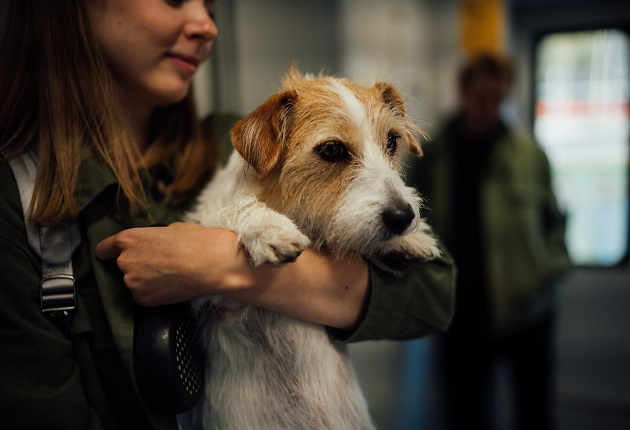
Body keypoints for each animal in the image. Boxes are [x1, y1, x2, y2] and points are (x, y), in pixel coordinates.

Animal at [188, 67, 442, 430]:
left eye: (392, 141)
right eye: (332, 149)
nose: (403, 217)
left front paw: (411, 239)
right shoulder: (210, 300)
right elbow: (230, 209)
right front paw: (268, 227)